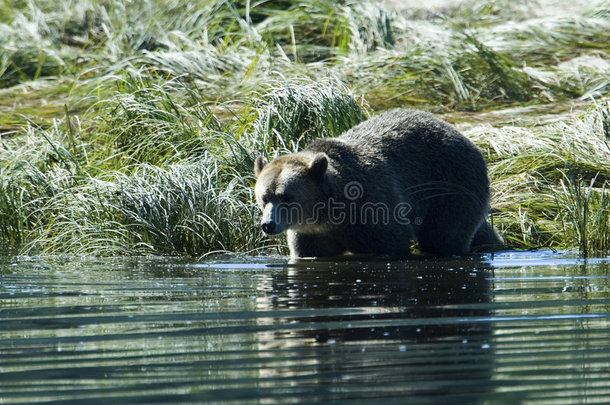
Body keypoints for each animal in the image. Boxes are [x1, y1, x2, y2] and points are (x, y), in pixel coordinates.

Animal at [252, 108, 498, 258]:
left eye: (286, 197)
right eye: (264, 198)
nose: (268, 225)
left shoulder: (372, 212)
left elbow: (391, 241)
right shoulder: (311, 236)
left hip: (451, 184)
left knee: (443, 236)